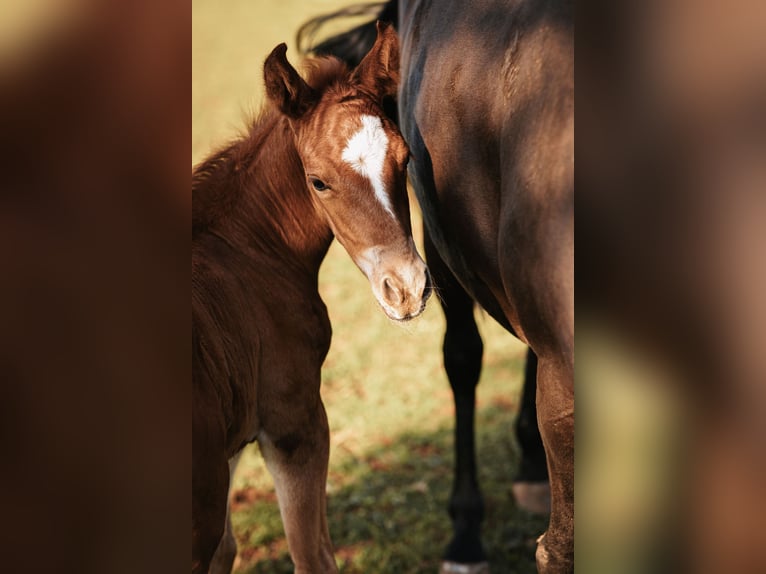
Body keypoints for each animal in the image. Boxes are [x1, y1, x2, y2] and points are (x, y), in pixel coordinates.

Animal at [192, 24, 431, 573]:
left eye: (404, 160)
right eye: (319, 181)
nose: (406, 287)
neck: (243, 245)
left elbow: (227, 550)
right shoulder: (294, 420)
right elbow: (313, 555)